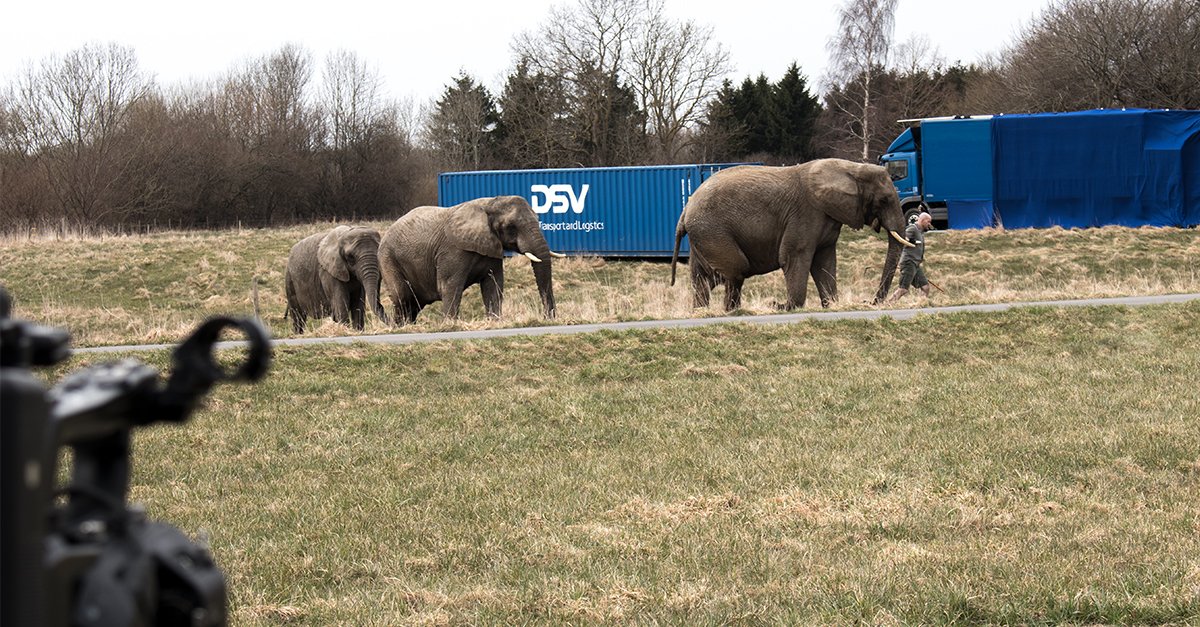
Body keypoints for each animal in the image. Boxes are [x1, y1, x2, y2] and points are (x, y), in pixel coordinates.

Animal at [379, 195, 561, 323]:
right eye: (510, 227)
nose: (547, 318)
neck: (489, 203)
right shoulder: (453, 251)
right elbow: (449, 287)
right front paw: (450, 324)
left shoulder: (492, 248)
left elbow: (493, 285)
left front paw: (495, 322)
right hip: (388, 258)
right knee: (401, 296)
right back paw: (400, 327)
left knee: (413, 303)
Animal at [670, 158, 913, 311]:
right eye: (884, 200)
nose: (868, 302)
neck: (851, 167)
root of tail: (685, 209)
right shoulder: (805, 214)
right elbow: (794, 256)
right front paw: (784, 307)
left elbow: (824, 262)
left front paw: (831, 305)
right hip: (712, 231)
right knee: (735, 269)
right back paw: (732, 310)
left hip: (702, 235)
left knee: (704, 278)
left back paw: (704, 311)